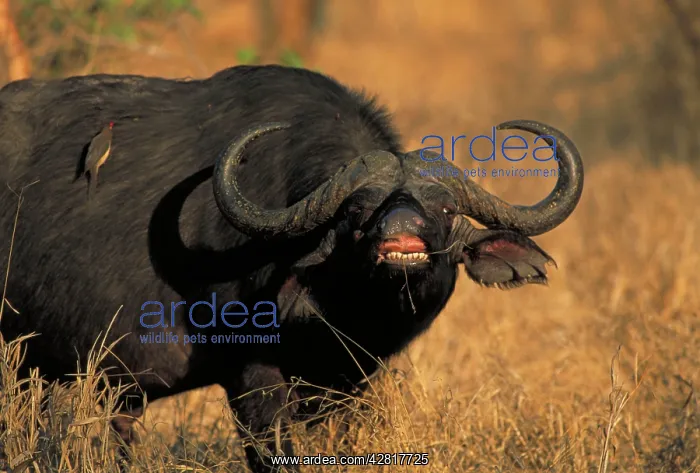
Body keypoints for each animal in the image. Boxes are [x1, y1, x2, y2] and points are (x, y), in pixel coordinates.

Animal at [0, 64, 584, 472]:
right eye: (356, 212)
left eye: (442, 209)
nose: (401, 237)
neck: (337, 314)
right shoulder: (252, 376)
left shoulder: (347, 384)